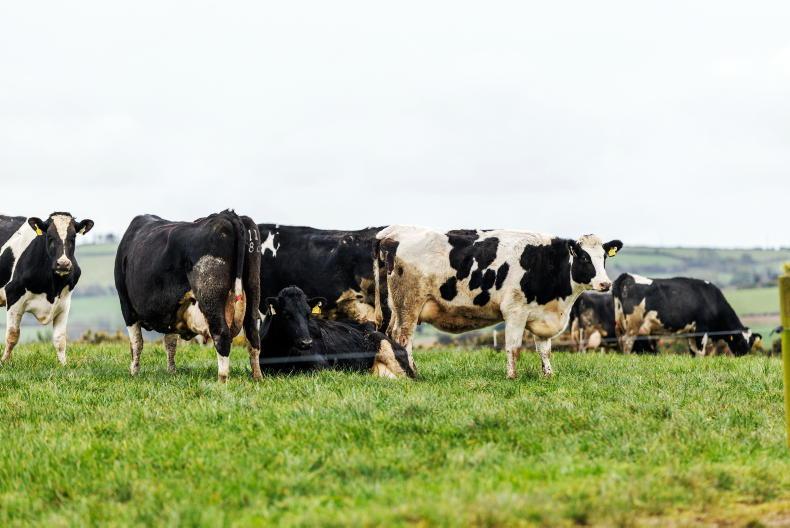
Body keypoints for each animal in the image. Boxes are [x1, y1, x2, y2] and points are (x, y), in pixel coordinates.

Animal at [0, 213, 94, 365]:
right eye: (49, 236)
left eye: (73, 237)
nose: (63, 264)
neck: (52, 288)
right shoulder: (13, 294)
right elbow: (12, 335)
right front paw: (5, 362)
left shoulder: (64, 303)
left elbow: (60, 339)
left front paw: (63, 365)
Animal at [114, 210, 261, 382]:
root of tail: (227, 215)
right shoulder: (170, 309)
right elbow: (170, 342)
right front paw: (171, 372)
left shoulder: (126, 306)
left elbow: (136, 342)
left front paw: (134, 372)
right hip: (253, 290)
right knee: (253, 334)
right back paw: (257, 377)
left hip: (210, 295)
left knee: (221, 334)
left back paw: (222, 379)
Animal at [374, 226, 623, 378]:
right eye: (584, 258)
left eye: (603, 258)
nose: (605, 284)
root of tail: (394, 233)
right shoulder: (515, 311)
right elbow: (513, 347)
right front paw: (512, 376)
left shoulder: (543, 315)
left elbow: (545, 350)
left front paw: (548, 375)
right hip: (409, 304)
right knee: (403, 337)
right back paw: (413, 374)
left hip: (395, 306)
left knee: (390, 333)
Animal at [612, 273, 761, 356]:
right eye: (740, 341)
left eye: (751, 342)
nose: (744, 354)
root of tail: (627, 276)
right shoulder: (701, 329)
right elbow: (700, 351)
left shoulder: (691, 331)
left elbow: (693, 351)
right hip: (633, 325)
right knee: (627, 342)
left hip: (619, 324)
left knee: (621, 341)